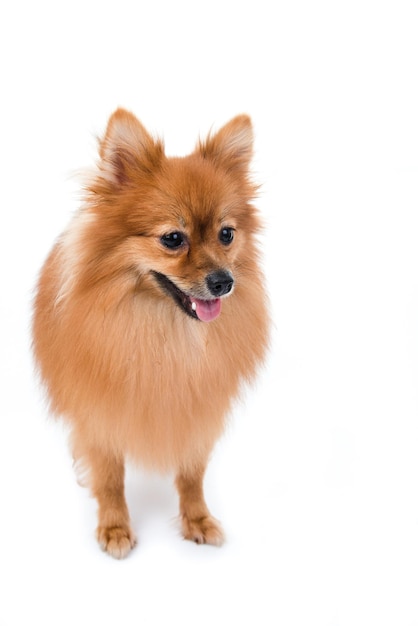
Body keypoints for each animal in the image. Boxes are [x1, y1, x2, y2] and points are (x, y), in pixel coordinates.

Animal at [31, 109, 268, 560]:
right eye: (173, 239)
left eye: (227, 234)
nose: (224, 281)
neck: (167, 332)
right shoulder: (98, 413)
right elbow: (109, 477)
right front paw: (114, 526)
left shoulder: (198, 412)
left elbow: (192, 474)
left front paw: (197, 518)